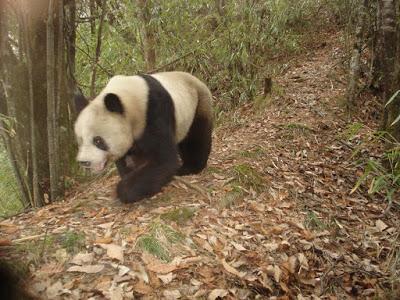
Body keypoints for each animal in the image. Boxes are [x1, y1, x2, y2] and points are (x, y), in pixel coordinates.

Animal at [74, 72, 214, 204]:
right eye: (80, 140)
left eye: (98, 140)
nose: (84, 162)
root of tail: (197, 79)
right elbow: (126, 160)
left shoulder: (154, 113)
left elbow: (163, 159)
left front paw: (127, 189)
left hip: (198, 104)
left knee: (195, 138)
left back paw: (190, 167)